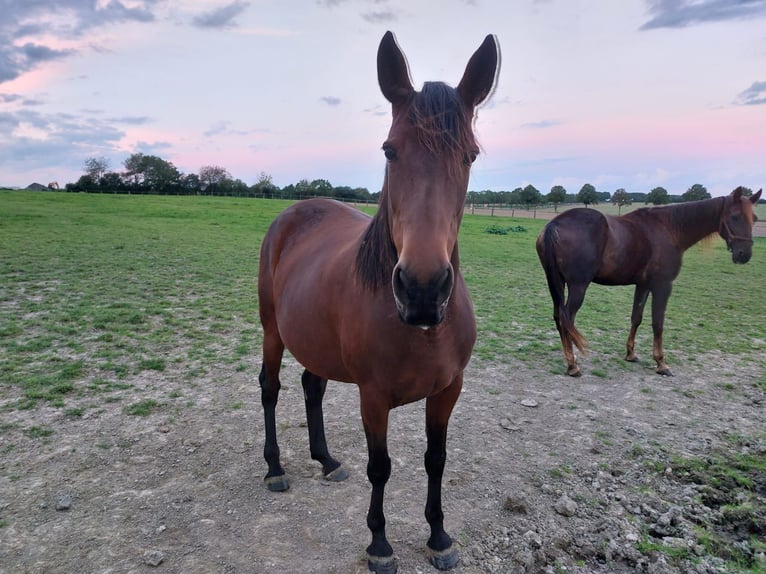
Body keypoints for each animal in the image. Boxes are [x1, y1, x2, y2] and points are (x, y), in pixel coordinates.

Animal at [257, 31, 499, 573]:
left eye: (471, 155)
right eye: (390, 150)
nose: (423, 289)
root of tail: (294, 212)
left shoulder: (448, 390)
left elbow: (436, 460)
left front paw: (439, 536)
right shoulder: (373, 396)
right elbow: (381, 466)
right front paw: (380, 544)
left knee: (311, 387)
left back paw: (326, 461)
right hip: (272, 332)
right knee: (271, 388)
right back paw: (275, 468)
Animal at [536, 187, 761, 377]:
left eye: (755, 218)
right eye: (735, 216)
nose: (744, 254)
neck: (669, 229)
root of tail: (554, 224)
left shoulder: (643, 285)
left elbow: (636, 317)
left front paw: (630, 354)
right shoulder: (663, 286)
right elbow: (658, 323)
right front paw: (661, 362)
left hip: (556, 283)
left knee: (558, 317)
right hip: (578, 287)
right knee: (567, 319)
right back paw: (573, 365)